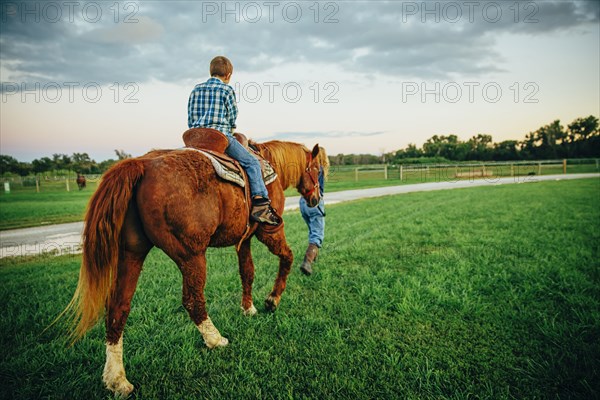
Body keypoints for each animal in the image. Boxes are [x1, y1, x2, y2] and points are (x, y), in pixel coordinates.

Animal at [61, 138, 324, 396]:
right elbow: (287, 258)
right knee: (192, 300)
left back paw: (117, 379)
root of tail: (142, 164)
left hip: (131, 255)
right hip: (192, 256)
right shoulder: (269, 232)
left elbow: (247, 272)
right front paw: (272, 299)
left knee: (118, 308)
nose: (315, 199)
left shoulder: (244, 240)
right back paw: (215, 339)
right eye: (315, 169)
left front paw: (248, 308)